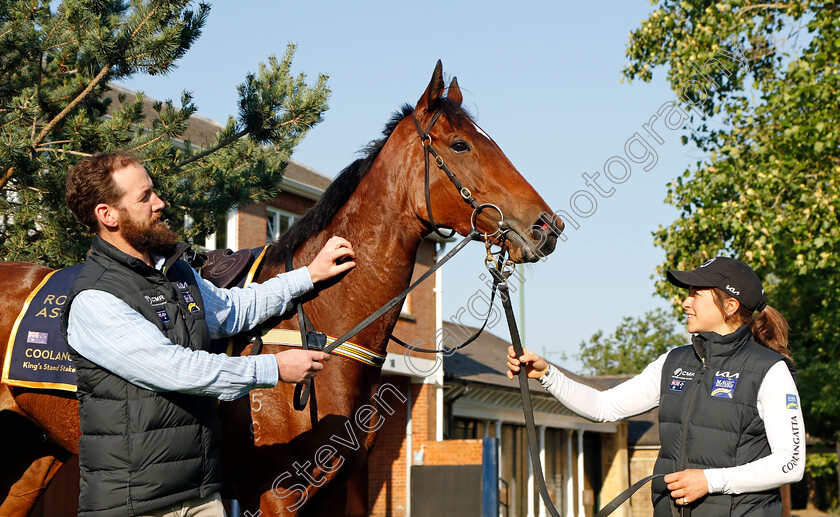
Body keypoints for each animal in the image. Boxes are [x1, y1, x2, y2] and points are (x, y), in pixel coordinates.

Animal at [1, 61, 564, 516]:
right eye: (461, 144)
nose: (546, 226)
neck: (320, 326)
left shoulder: (331, 493)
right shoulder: (275, 494)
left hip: (35, 456)